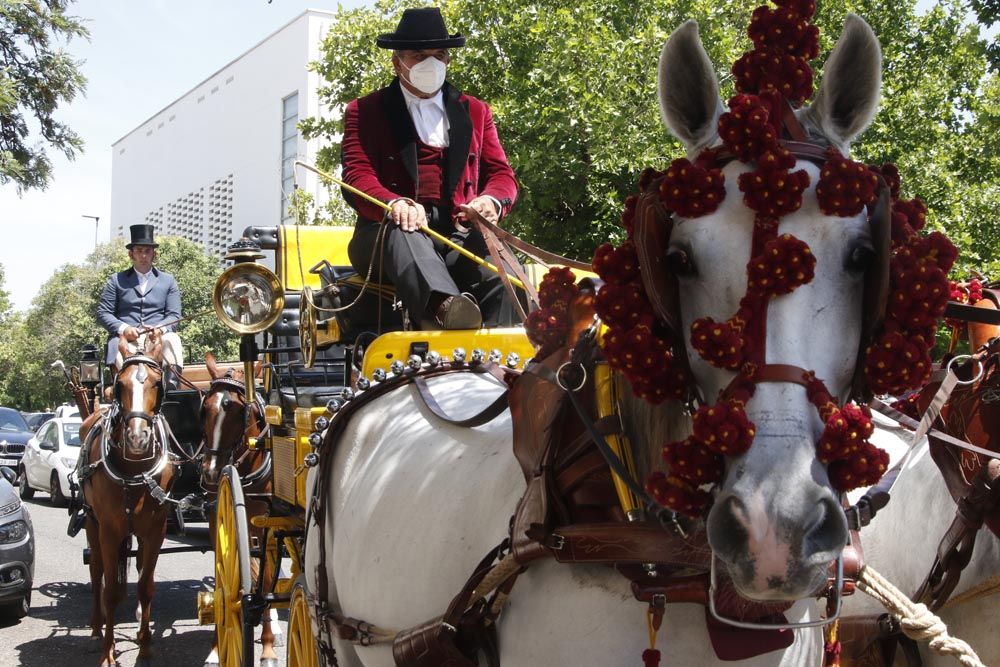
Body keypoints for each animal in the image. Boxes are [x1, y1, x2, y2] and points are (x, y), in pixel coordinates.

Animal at [81, 332, 178, 664]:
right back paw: (95, 629)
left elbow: (146, 587)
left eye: (157, 383)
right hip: (91, 523)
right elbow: (110, 590)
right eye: (120, 385)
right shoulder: (110, 530)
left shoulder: (155, 530)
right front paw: (107, 653)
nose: (137, 438)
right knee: (97, 570)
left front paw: (145, 645)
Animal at [199, 354, 278, 667]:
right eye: (204, 407)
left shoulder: (267, 522)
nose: (210, 472)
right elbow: (221, 567)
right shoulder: (216, 518)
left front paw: (267, 646)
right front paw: (215, 647)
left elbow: (266, 579)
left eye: (239, 411)